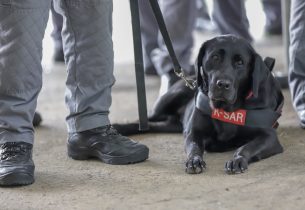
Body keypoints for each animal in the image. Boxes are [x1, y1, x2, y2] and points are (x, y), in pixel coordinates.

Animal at [113, 35, 284, 175]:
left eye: (240, 62)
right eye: (215, 57)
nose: (222, 84)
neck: (228, 109)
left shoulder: (269, 137)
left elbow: (247, 147)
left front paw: (238, 160)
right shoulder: (194, 132)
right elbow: (194, 147)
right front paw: (194, 161)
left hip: (173, 124)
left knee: (154, 125)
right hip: (170, 98)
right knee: (144, 120)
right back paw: (119, 127)